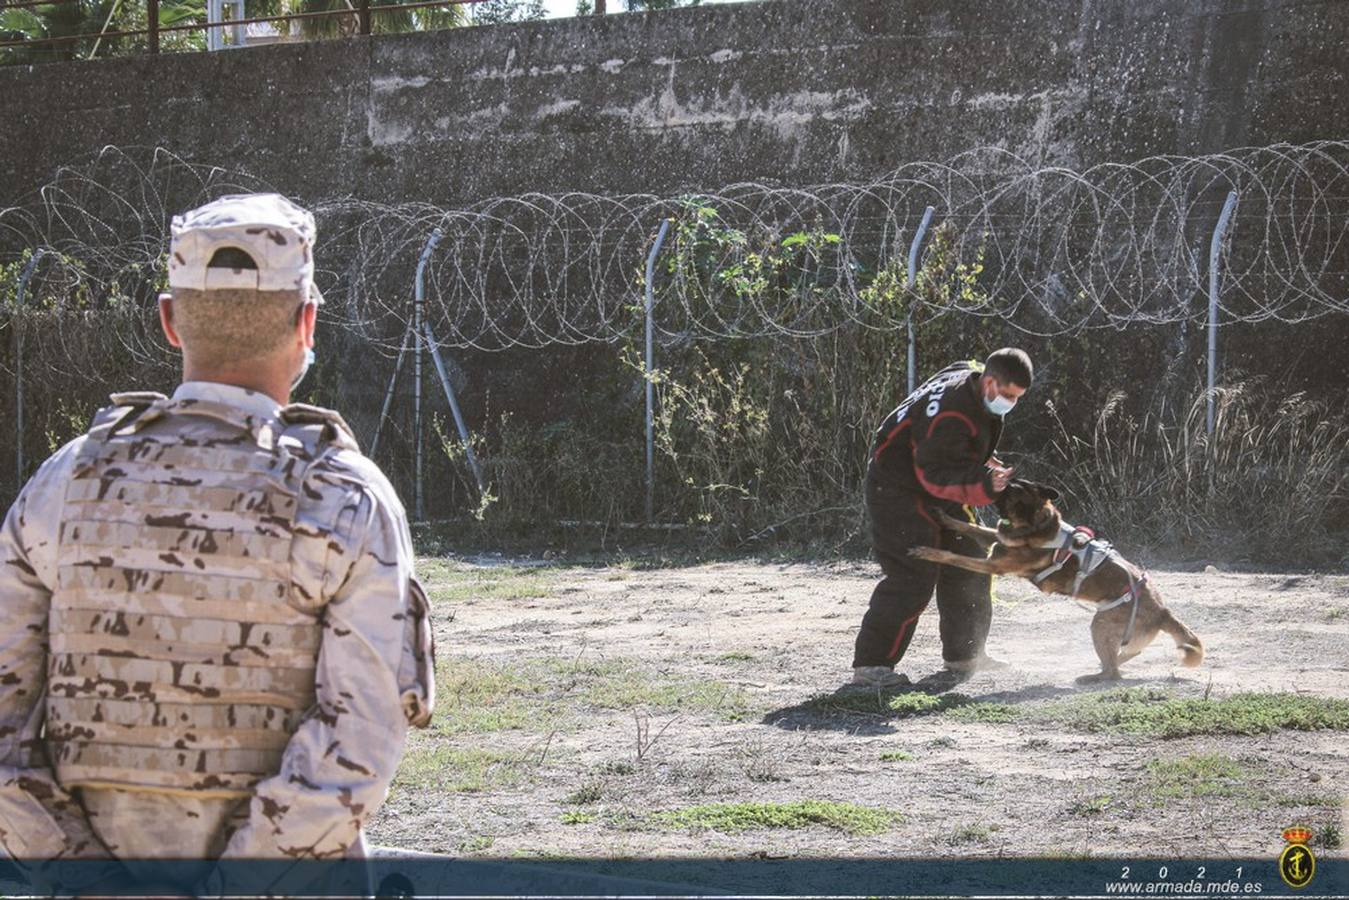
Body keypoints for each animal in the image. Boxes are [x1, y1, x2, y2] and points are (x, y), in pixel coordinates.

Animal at [906, 477, 1203, 682]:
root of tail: (1163, 611)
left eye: (1012, 489)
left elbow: (952, 557)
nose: (992, 476)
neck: (1033, 525)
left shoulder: (993, 565)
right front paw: (944, 517)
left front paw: (928, 552)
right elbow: (970, 526)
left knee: (1113, 673)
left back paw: (1093, 677)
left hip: (1101, 624)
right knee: (1128, 656)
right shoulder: (996, 540)